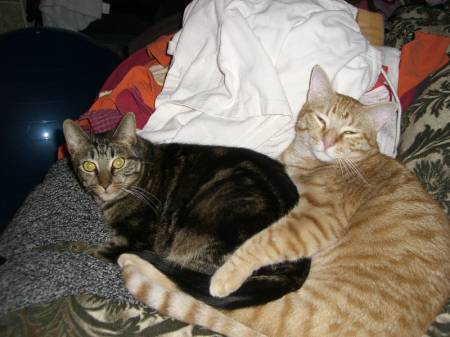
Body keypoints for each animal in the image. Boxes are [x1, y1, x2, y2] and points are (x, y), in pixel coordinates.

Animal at [119, 65, 450, 336]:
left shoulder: (313, 219)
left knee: (200, 295)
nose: (328, 142)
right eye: (321, 119)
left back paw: (134, 262)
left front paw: (225, 277)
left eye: (350, 132)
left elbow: (264, 242)